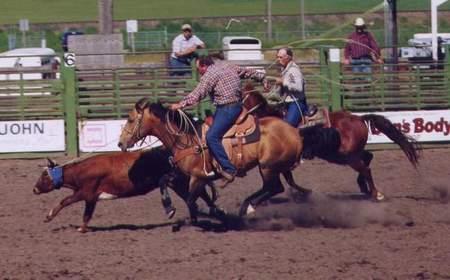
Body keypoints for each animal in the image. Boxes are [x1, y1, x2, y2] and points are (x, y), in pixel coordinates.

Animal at [33, 147, 220, 232]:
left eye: (44, 176)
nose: (34, 189)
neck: (82, 170)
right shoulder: (91, 198)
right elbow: (87, 214)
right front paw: (83, 228)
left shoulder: (86, 193)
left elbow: (66, 201)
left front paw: (50, 216)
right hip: (179, 184)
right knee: (197, 196)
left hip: (179, 181)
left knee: (198, 195)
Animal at [118, 98, 314, 221]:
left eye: (130, 119)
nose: (121, 143)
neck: (187, 139)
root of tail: (294, 131)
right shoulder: (183, 174)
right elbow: (164, 180)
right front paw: (170, 208)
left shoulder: (199, 176)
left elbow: (192, 199)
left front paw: (213, 213)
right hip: (276, 166)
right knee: (276, 186)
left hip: (267, 167)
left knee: (274, 187)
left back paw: (247, 207)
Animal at [241, 82, 420, 200]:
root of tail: (359, 118)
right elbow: (290, 180)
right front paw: (305, 193)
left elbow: (289, 179)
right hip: (343, 154)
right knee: (368, 158)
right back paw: (364, 188)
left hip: (347, 157)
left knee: (366, 168)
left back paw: (376, 193)